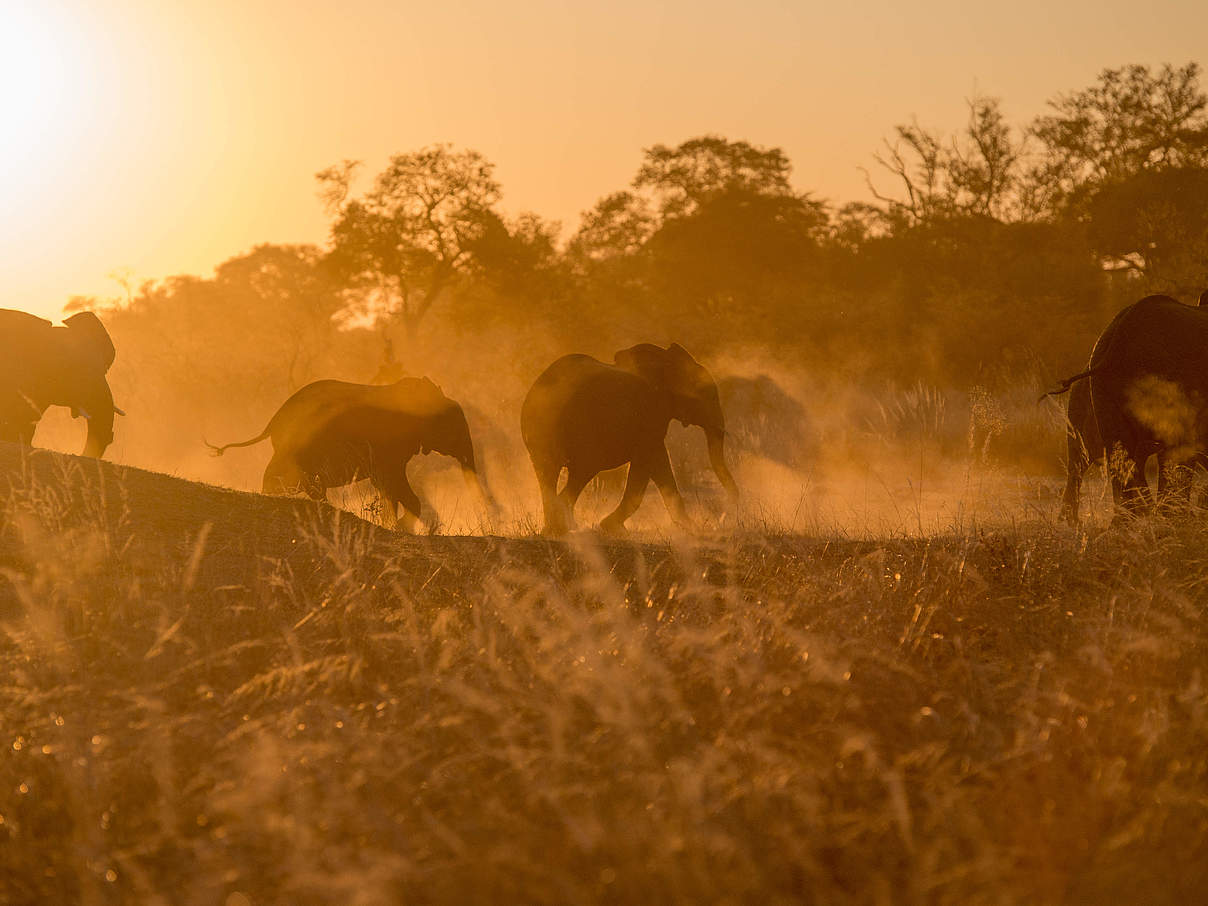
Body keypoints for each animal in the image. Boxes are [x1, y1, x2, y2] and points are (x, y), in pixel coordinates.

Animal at [206, 376, 490, 531]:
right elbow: (393, 482)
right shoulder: (388, 446)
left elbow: (388, 485)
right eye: (455, 427)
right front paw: (400, 526)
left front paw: (393, 525)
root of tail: (272, 421)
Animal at [521, 343, 739, 536]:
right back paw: (563, 527)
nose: (721, 519)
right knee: (581, 472)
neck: (666, 361)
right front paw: (611, 528)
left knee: (547, 473)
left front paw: (691, 528)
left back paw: (553, 529)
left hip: (540, 431)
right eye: (708, 395)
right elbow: (648, 462)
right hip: (582, 432)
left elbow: (658, 465)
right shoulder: (650, 413)